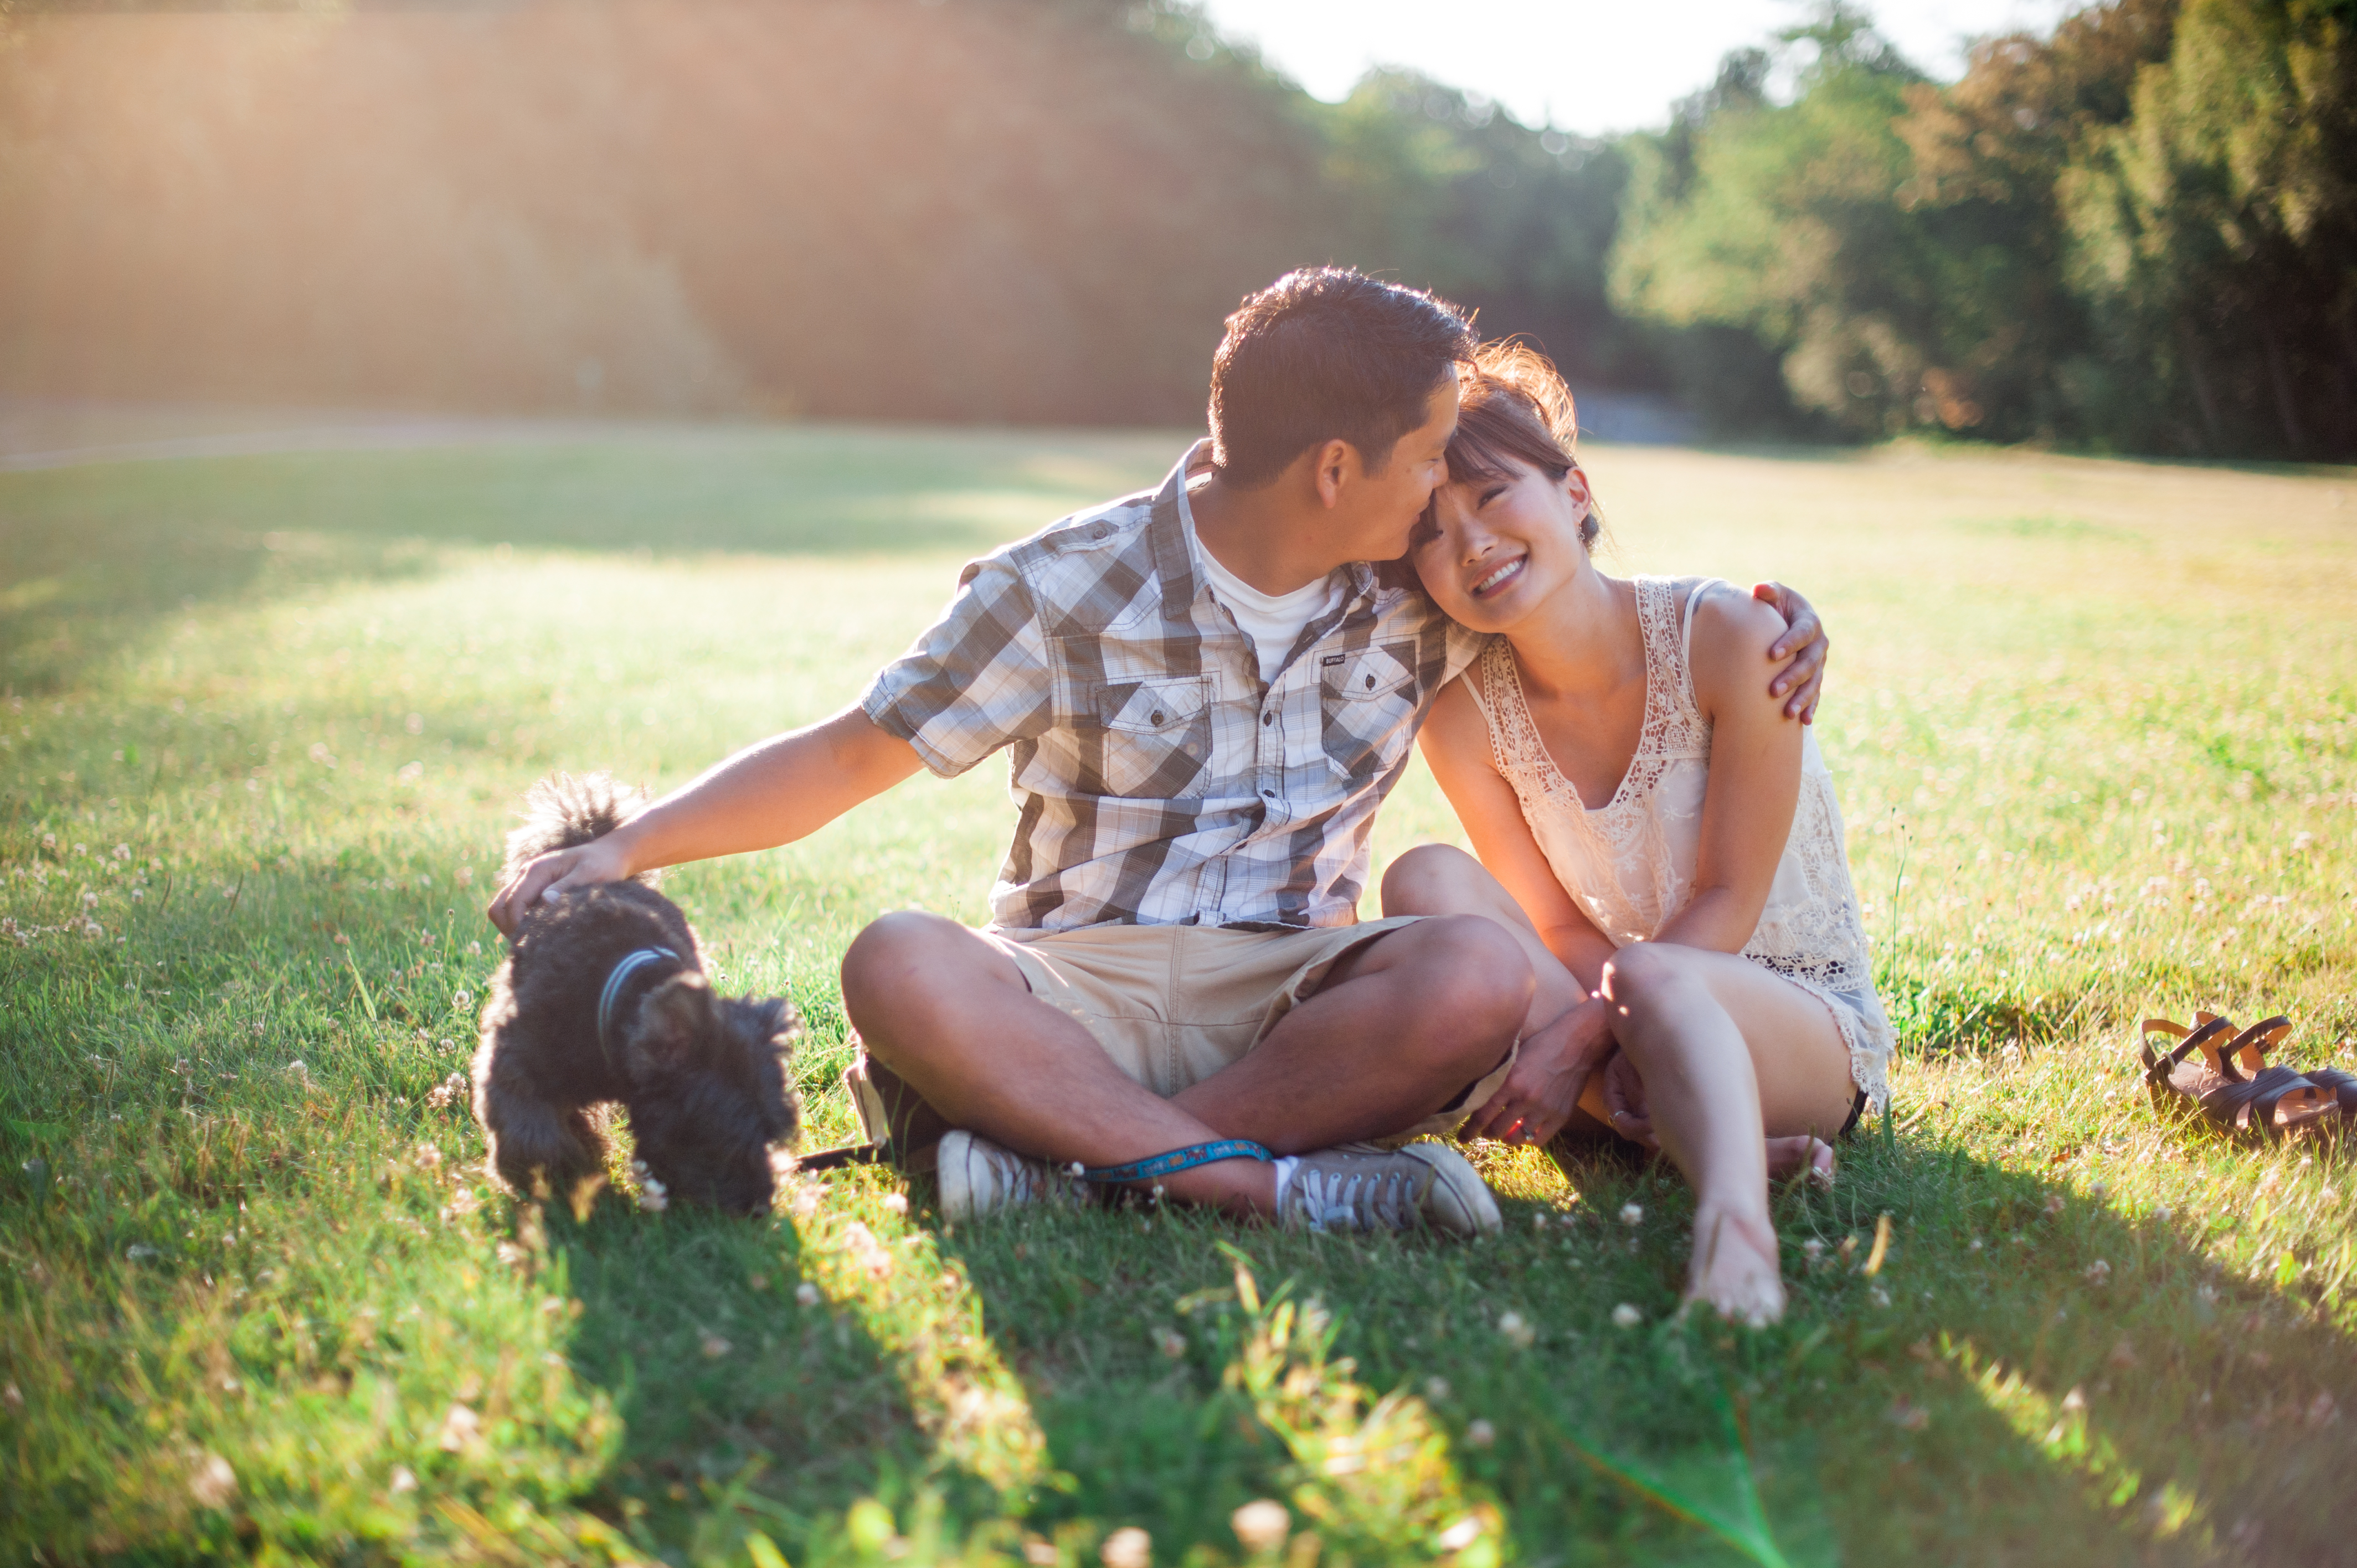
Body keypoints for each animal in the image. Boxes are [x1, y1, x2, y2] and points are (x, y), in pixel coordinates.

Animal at [471, 768, 801, 1207]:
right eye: (724, 1141)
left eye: (771, 1135)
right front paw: (554, 1175)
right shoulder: (514, 1060)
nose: (761, 1207)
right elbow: (532, 1132)